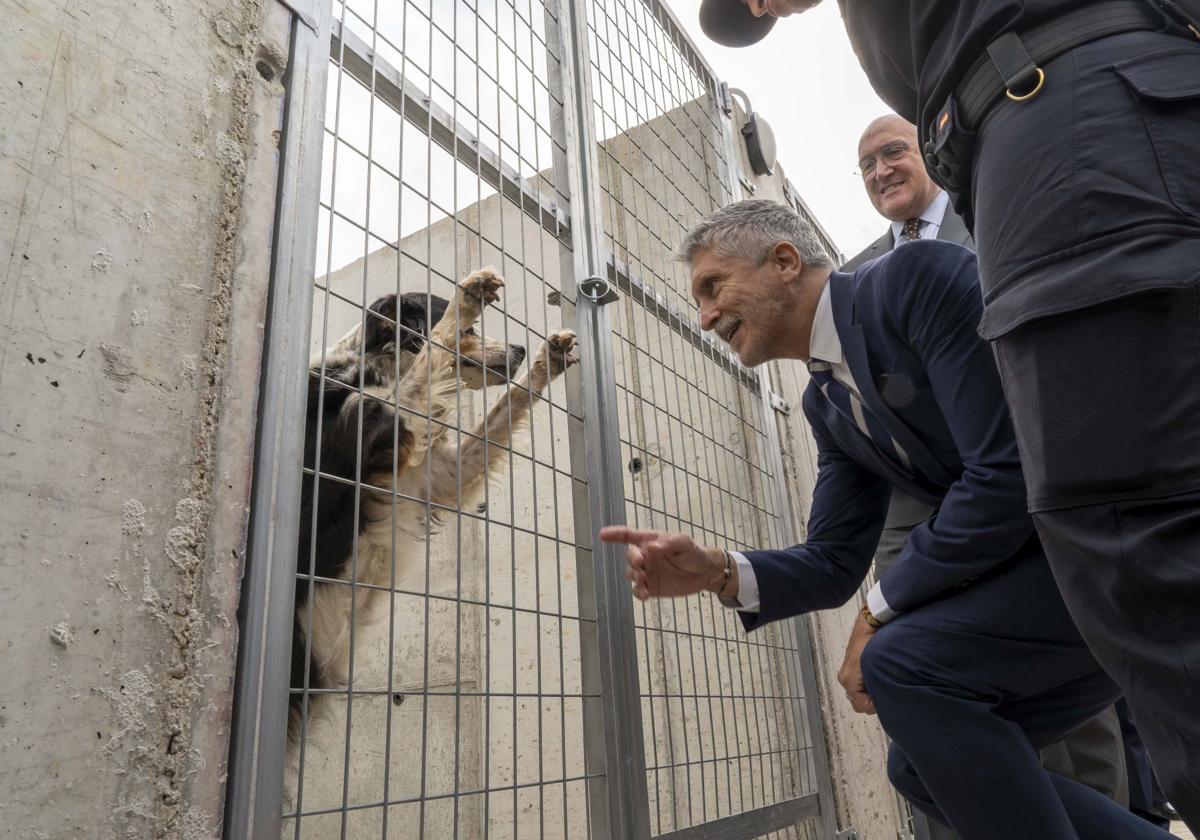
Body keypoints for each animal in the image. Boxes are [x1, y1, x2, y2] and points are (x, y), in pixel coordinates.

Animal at [288, 267, 573, 739]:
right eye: (473, 332)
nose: (517, 348)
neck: (372, 371)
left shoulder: (434, 479)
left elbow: (502, 408)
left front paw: (544, 363)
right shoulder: (384, 423)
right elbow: (434, 346)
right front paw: (467, 297)